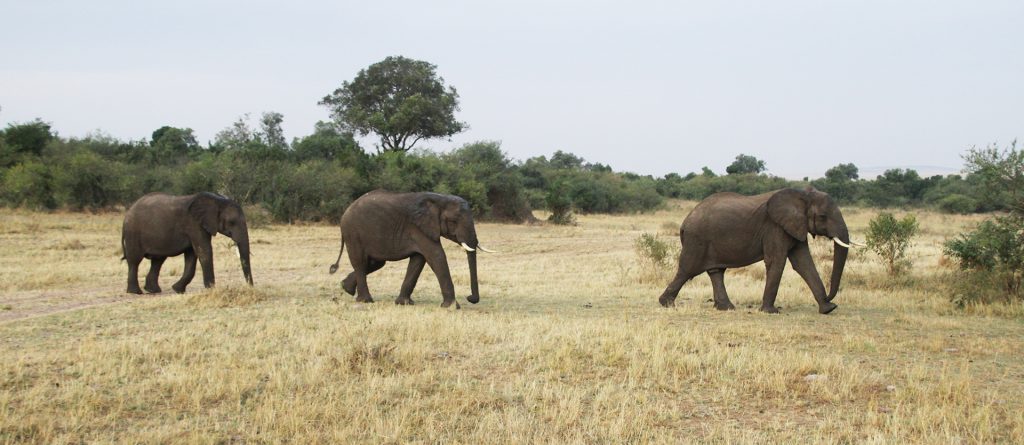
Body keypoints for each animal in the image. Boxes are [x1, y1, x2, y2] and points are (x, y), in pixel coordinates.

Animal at [121, 190, 253, 294]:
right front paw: (211, 289)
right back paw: (135, 292)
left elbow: (192, 255)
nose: (250, 287)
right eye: (232, 222)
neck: (217, 200)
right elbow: (204, 251)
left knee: (158, 261)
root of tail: (128, 212)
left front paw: (177, 290)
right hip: (133, 232)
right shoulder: (194, 224)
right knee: (134, 260)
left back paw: (153, 290)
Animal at [325, 190, 489, 308]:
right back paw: (365, 301)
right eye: (453, 221)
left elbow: (419, 260)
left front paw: (403, 303)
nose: (470, 298)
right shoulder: (418, 228)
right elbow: (436, 256)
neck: (440, 199)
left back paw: (346, 288)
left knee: (374, 263)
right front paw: (452, 307)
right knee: (360, 262)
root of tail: (346, 211)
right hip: (353, 233)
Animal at [655, 186, 856, 315]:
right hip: (697, 240)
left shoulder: (794, 226)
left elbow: (803, 263)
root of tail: (684, 222)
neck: (802, 194)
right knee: (687, 270)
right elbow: (777, 261)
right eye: (822, 216)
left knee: (715, 271)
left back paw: (727, 308)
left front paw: (829, 309)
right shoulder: (775, 227)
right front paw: (771, 312)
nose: (830, 296)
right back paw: (666, 304)